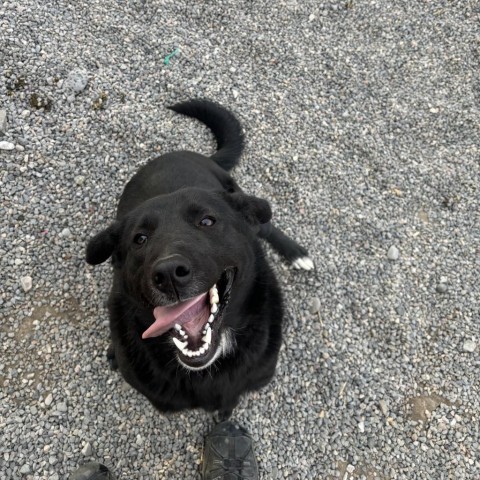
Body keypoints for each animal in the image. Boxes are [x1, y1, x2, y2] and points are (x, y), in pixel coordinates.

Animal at [86, 99, 312, 418]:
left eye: (207, 221)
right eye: (139, 239)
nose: (169, 273)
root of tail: (182, 154)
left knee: (267, 225)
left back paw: (297, 254)